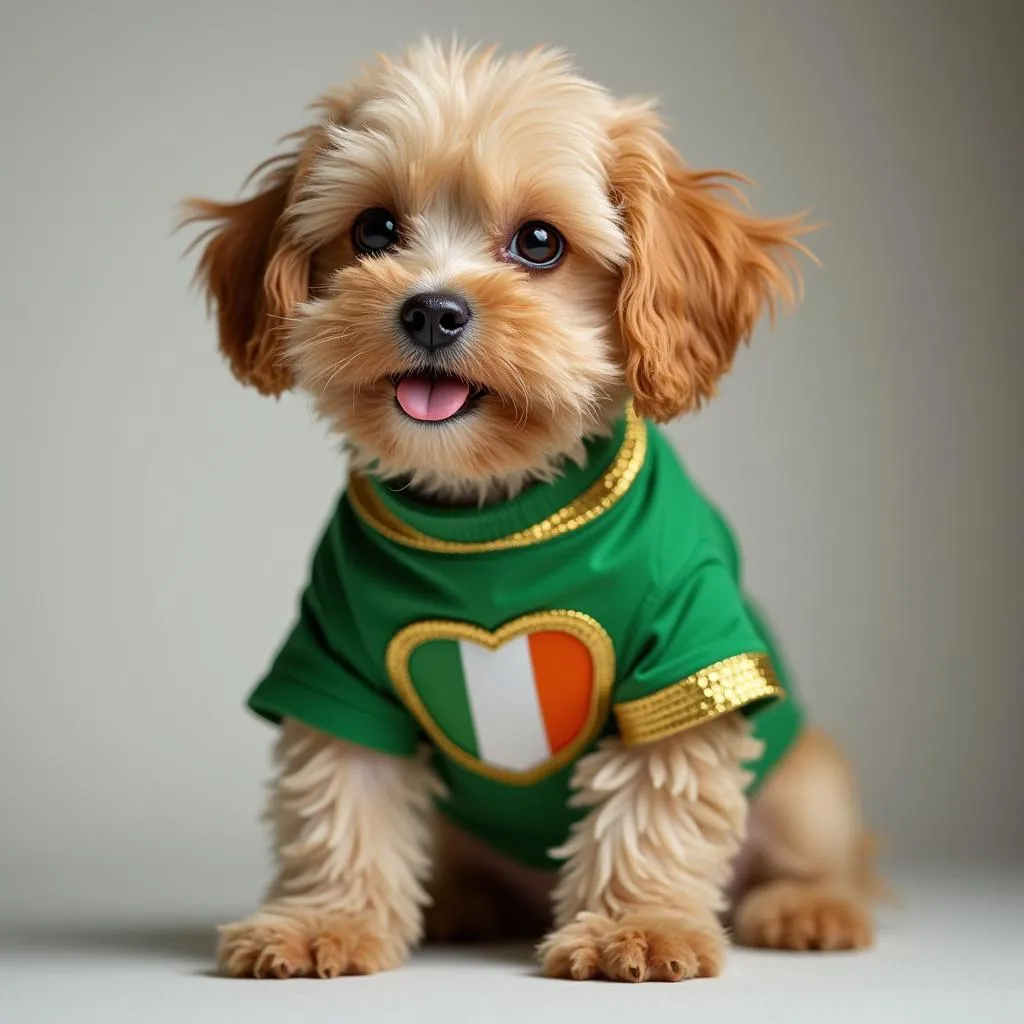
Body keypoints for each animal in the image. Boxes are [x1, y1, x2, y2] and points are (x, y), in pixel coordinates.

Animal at [182, 41, 872, 983]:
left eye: (539, 242)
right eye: (374, 230)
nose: (432, 308)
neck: (490, 511)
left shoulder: (688, 657)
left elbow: (655, 799)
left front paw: (634, 927)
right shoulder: (334, 662)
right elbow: (342, 796)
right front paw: (327, 919)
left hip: (808, 782)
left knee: (829, 856)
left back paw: (810, 906)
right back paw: (461, 904)